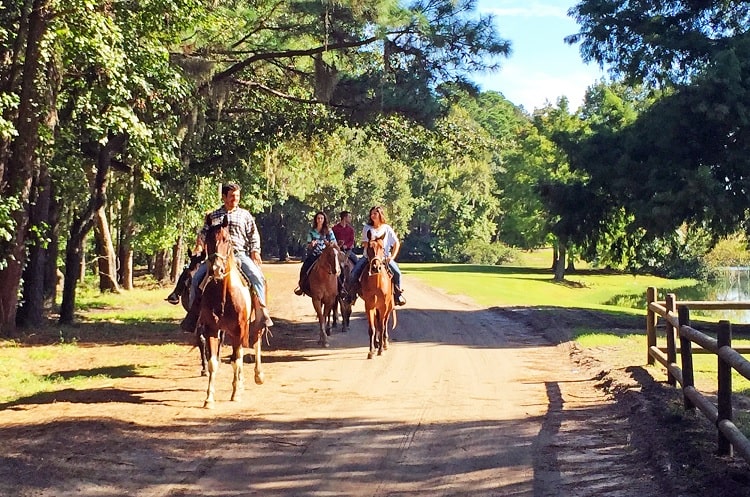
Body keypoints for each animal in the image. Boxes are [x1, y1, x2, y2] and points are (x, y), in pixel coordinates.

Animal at [201, 216, 268, 406]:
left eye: (226, 239)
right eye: (208, 240)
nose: (216, 269)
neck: (224, 295)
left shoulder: (239, 328)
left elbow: (237, 360)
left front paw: (236, 392)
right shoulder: (212, 329)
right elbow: (214, 363)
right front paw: (209, 398)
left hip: (252, 323)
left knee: (255, 341)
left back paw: (257, 375)